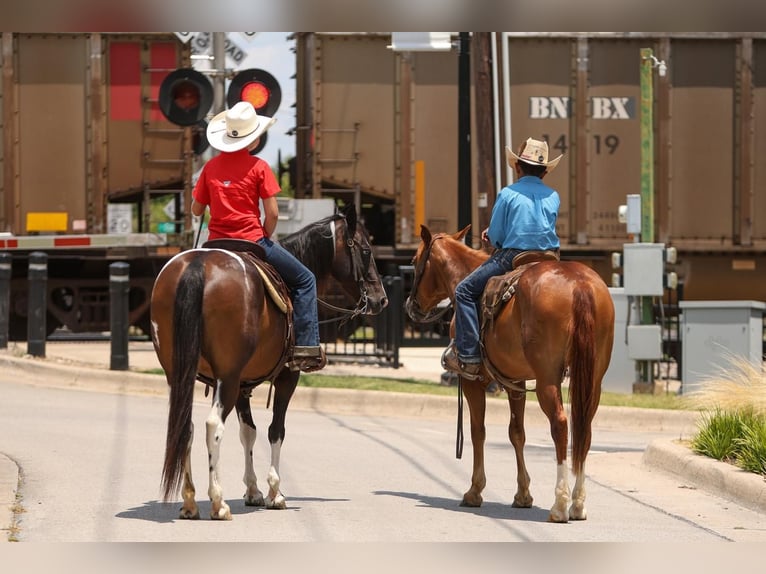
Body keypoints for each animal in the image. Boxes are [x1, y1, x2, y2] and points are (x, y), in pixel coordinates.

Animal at [152, 204, 390, 520]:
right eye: (366, 250)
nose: (381, 299)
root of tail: (197, 265)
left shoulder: (243, 384)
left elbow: (248, 432)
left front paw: (253, 490)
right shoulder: (286, 377)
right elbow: (276, 431)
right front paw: (275, 492)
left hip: (179, 375)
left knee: (184, 428)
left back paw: (190, 501)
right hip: (226, 378)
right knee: (213, 426)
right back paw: (218, 501)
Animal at [404, 226, 616, 528]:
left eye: (414, 260)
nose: (412, 306)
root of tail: (579, 285)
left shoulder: (473, 381)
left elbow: (477, 432)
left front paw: (474, 490)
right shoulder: (515, 381)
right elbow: (517, 433)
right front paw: (523, 494)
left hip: (547, 379)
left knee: (561, 425)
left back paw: (560, 504)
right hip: (592, 380)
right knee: (583, 428)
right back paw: (578, 503)